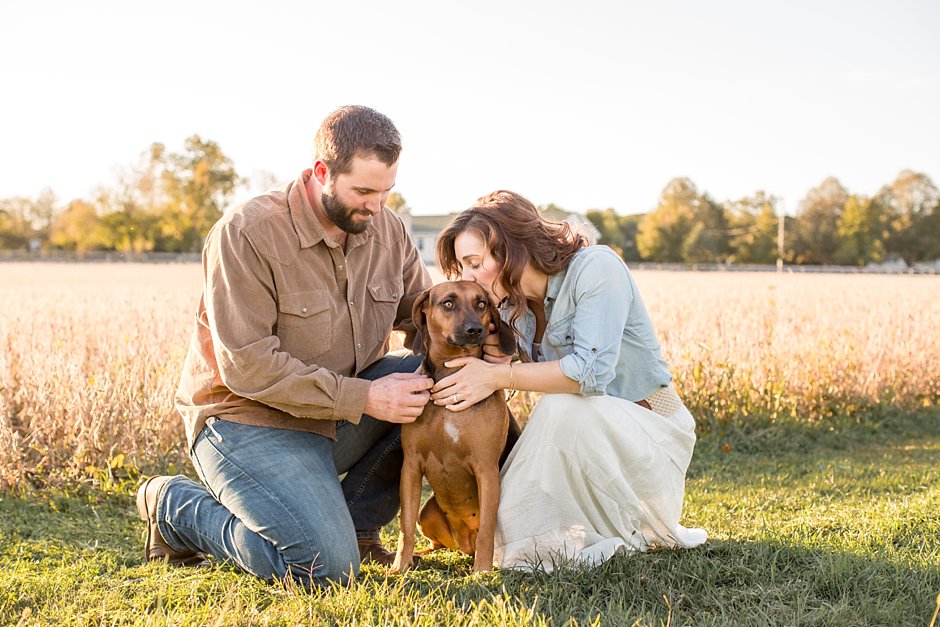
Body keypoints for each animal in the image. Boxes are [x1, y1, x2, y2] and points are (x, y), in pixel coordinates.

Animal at [392, 282, 516, 576]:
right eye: (448, 303)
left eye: (481, 303)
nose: (475, 330)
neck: (452, 376)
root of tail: (462, 542)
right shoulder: (410, 467)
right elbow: (405, 526)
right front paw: (399, 566)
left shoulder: (486, 469)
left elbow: (488, 531)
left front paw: (482, 571)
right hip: (427, 511)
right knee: (435, 543)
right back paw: (419, 555)